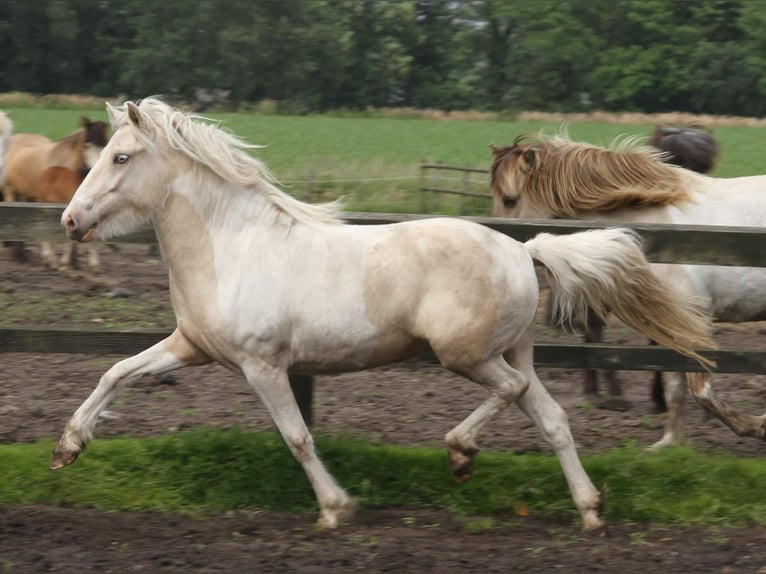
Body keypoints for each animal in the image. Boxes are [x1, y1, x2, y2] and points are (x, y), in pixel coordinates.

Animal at [2, 116, 109, 268]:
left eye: (105, 145)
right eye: (87, 145)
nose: (94, 171)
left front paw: (74, 262)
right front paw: (60, 262)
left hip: (30, 198)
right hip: (11, 192)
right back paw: (21, 256)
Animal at [51, 98, 715, 532]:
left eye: (121, 157)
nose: (70, 221)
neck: (232, 245)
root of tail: (524, 251)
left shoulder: (262, 365)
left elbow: (297, 437)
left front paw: (335, 509)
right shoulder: (191, 345)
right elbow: (116, 372)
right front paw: (68, 448)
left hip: (466, 354)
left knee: (511, 392)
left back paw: (461, 453)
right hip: (512, 349)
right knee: (550, 417)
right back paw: (590, 509)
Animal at [490, 133, 766, 448]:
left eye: (510, 199)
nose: (496, 247)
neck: (663, 233)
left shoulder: (695, 319)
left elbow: (701, 388)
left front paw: (757, 426)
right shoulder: (668, 323)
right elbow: (674, 384)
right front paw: (668, 443)